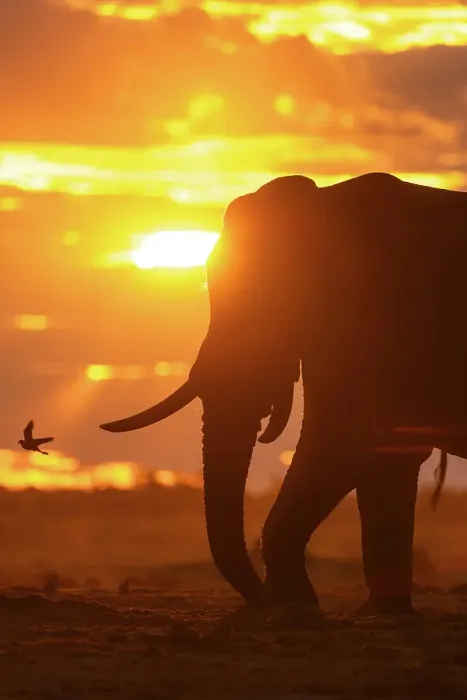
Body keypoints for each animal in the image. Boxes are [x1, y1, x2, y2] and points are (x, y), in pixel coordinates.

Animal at [99, 172, 467, 615]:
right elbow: (388, 455)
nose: (259, 598)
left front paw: (294, 604)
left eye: (268, 305)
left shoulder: (383, 317)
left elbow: (347, 441)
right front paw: (379, 612)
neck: (322, 205)